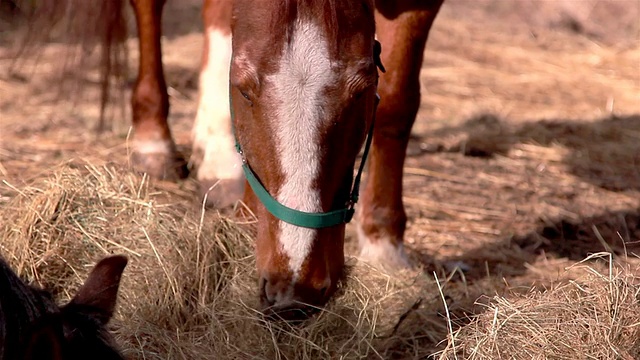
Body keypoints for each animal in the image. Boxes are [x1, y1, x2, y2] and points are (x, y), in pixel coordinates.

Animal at [85, 0, 442, 318]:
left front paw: (383, 243)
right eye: (242, 90)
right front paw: (244, 226)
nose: (294, 288)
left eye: (361, 92)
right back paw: (155, 141)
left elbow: (397, 101)